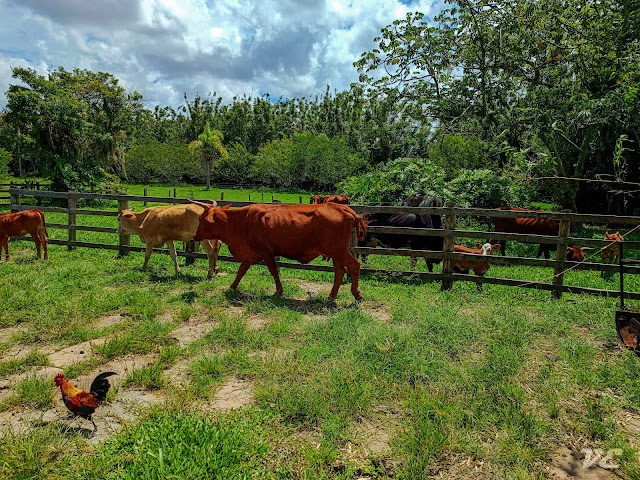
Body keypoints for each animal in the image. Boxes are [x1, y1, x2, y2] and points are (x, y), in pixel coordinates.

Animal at [189, 200, 364, 300]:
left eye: (201, 219)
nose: (194, 234)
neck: (241, 221)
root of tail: (345, 209)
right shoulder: (250, 253)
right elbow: (241, 270)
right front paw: (232, 286)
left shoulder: (265, 252)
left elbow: (274, 271)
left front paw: (279, 291)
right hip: (336, 252)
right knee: (340, 270)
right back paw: (332, 295)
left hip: (339, 250)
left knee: (354, 265)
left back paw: (357, 294)